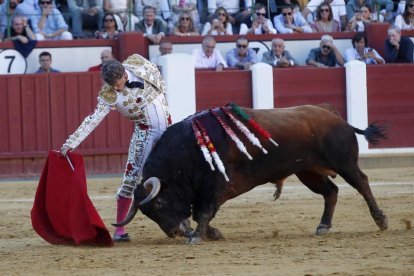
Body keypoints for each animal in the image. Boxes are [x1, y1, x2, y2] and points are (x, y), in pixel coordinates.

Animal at [114, 104, 388, 244]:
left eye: (160, 203)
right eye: (148, 213)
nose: (174, 232)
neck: (186, 152)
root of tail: (339, 119)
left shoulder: (215, 186)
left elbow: (204, 212)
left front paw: (197, 237)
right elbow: (202, 213)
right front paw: (209, 234)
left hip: (344, 163)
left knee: (362, 183)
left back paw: (381, 220)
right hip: (308, 172)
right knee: (331, 192)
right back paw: (323, 226)